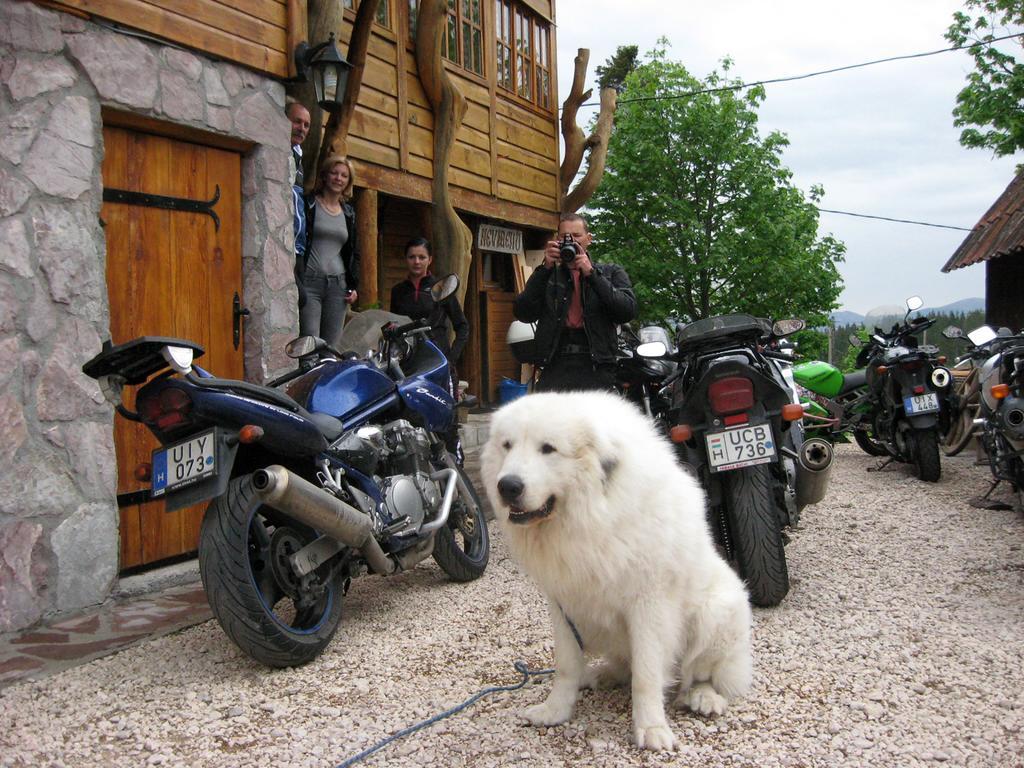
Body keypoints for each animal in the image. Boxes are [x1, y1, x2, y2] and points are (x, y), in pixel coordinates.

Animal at [479, 393, 753, 749]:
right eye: (507, 446)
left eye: (548, 449)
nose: (508, 486)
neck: (591, 514)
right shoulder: (562, 604)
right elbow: (565, 666)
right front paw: (555, 711)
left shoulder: (648, 605)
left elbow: (647, 675)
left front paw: (651, 728)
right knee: (624, 667)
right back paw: (600, 675)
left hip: (718, 611)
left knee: (706, 674)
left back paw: (703, 697)